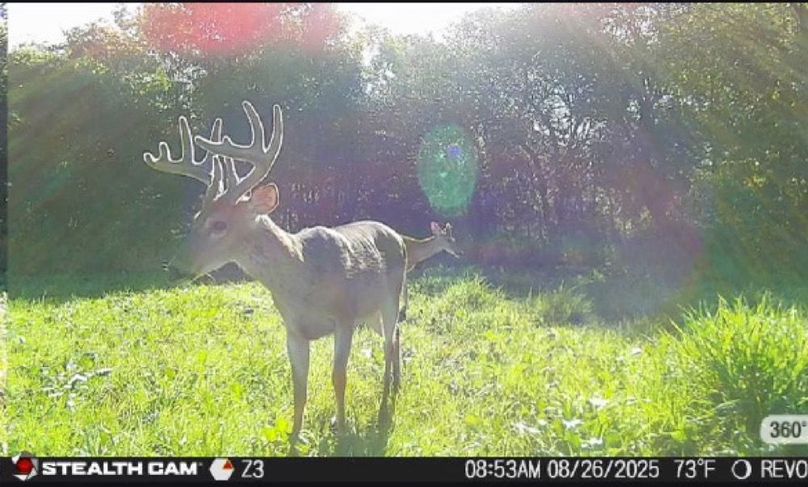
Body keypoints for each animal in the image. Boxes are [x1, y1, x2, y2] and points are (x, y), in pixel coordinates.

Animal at [143, 100, 407, 443]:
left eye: (219, 224)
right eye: (196, 218)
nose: (175, 268)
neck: (302, 280)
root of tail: (398, 235)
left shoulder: (344, 318)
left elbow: (338, 376)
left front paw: (342, 429)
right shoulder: (293, 330)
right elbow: (298, 387)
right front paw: (295, 437)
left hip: (390, 297)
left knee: (389, 341)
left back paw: (385, 398)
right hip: (371, 311)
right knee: (397, 334)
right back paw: (396, 384)